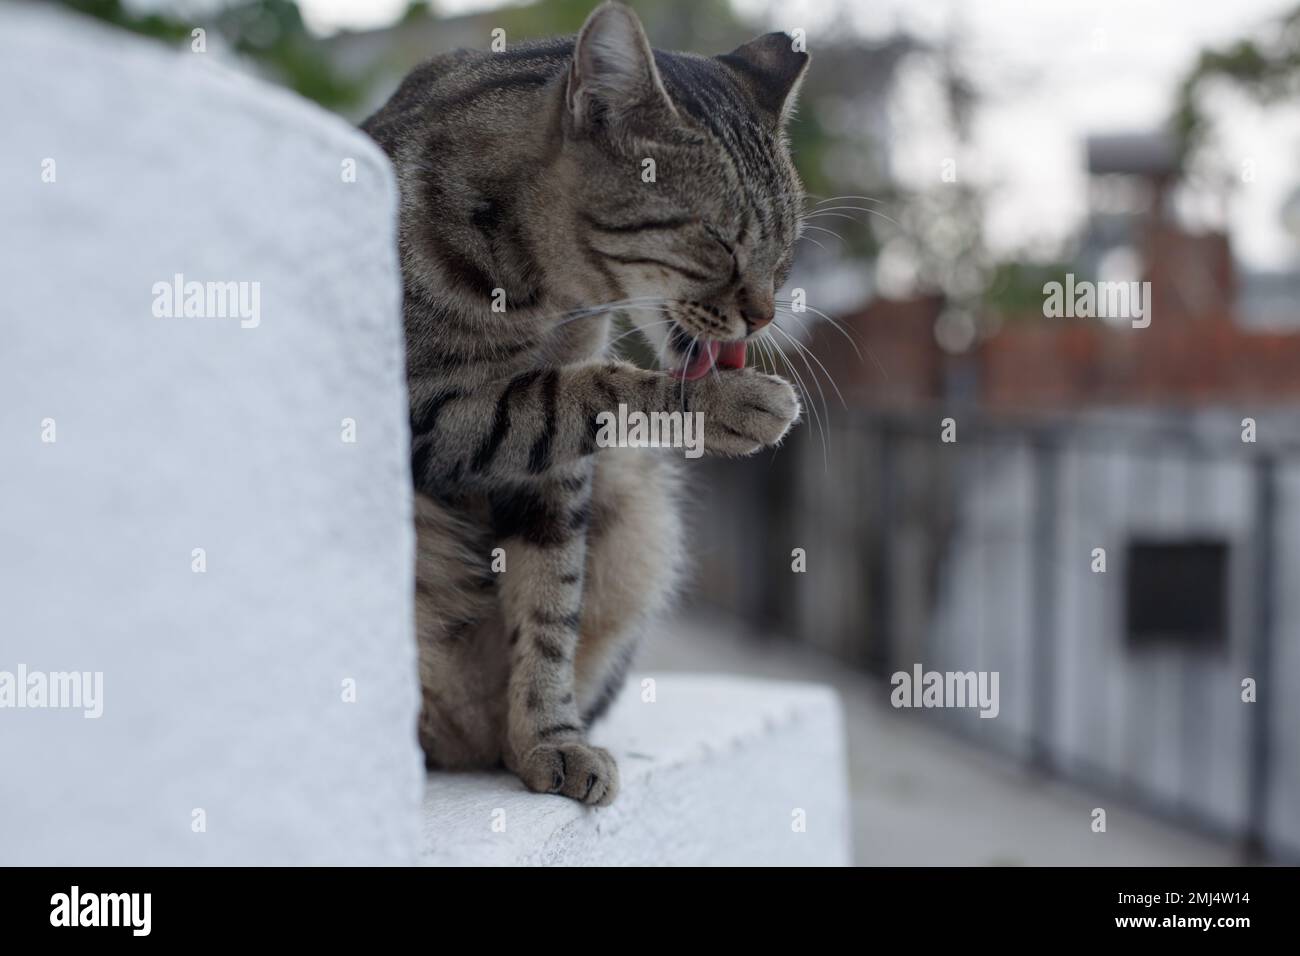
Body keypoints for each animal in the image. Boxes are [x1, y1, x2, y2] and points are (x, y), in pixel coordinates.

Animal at [366, 0, 806, 806]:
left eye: (785, 253)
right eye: (720, 241)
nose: (764, 316)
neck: (545, 295)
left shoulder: (556, 479)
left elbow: (548, 610)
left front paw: (549, 741)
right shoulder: (423, 410)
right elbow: (579, 391)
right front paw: (726, 402)